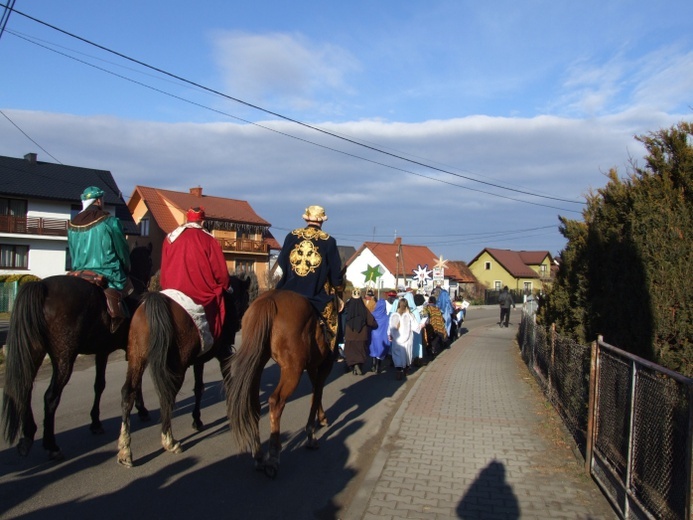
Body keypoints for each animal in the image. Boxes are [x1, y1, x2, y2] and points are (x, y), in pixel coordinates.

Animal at [1, 246, 153, 462]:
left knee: (26, 387)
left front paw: (96, 422)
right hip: (64, 357)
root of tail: (42, 286)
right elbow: (136, 382)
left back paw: (28, 435)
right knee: (50, 397)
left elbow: (99, 385)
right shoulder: (134, 349)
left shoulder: (102, 351)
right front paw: (142, 410)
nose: (150, 278)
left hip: (35, 351)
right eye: (149, 260)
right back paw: (51, 445)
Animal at [115, 274, 249, 470]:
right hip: (177, 364)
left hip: (136, 357)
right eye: (246, 297)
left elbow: (199, 388)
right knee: (167, 396)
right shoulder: (222, 353)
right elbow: (226, 381)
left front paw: (197, 420)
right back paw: (169, 441)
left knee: (128, 393)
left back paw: (125, 450)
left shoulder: (199, 359)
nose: (240, 323)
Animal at [224, 290, 338, 478]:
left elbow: (316, 391)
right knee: (276, 401)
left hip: (257, 363)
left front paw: (321, 418)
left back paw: (259, 456)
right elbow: (317, 393)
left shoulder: (313, 366)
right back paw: (273, 458)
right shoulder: (325, 364)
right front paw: (311, 435)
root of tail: (268, 299)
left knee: (254, 404)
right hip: (292, 369)